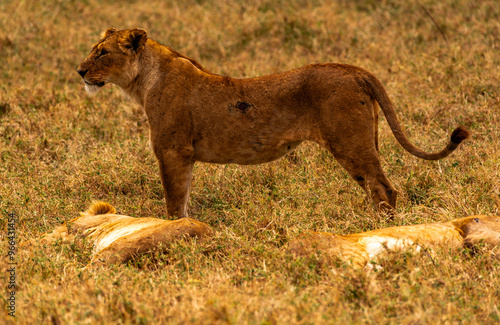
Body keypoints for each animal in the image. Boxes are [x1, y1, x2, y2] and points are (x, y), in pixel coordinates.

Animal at [75, 27, 468, 215]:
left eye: (102, 53)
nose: (79, 71)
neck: (144, 81)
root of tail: (353, 69)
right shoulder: (182, 156)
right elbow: (183, 201)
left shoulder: (174, 151)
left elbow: (174, 202)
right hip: (363, 140)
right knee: (380, 189)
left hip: (349, 143)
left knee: (385, 189)